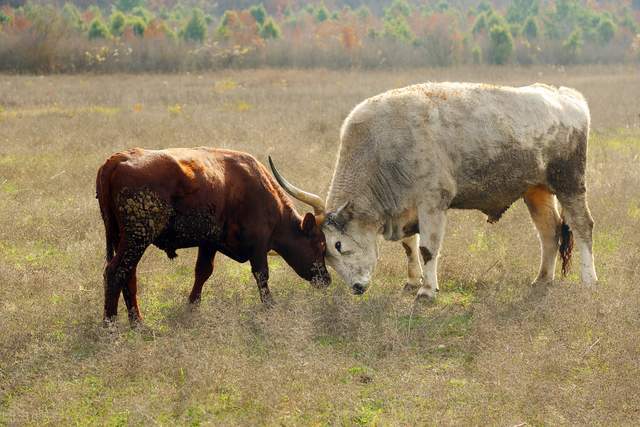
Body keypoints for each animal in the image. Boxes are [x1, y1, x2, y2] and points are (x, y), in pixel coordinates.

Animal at [97, 147, 332, 324]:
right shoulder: (258, 245)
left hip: (122, 238)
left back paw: (136, 322)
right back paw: (112, 325)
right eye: (321, 245)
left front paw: (192, 307)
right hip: (137, 238)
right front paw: (270, 306)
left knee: (128, 275)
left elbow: (202, 272)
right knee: (115, 272)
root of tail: (117, 159)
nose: (326, 279)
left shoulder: (208, 242)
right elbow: (262, 275)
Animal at [268, 83, 596, 298]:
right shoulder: (404, 208)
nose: (357, 288)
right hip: (536, 190)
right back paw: (542, 280)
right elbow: (409, 246)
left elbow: (428, 248)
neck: (381, 146)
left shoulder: (432, 204)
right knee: (549, 232)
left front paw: (426, 290)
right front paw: (414, 281)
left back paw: (588, 280)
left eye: (337, 245)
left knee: (582, 226)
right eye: (322, 250)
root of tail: (566, 96)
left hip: (569, 184)